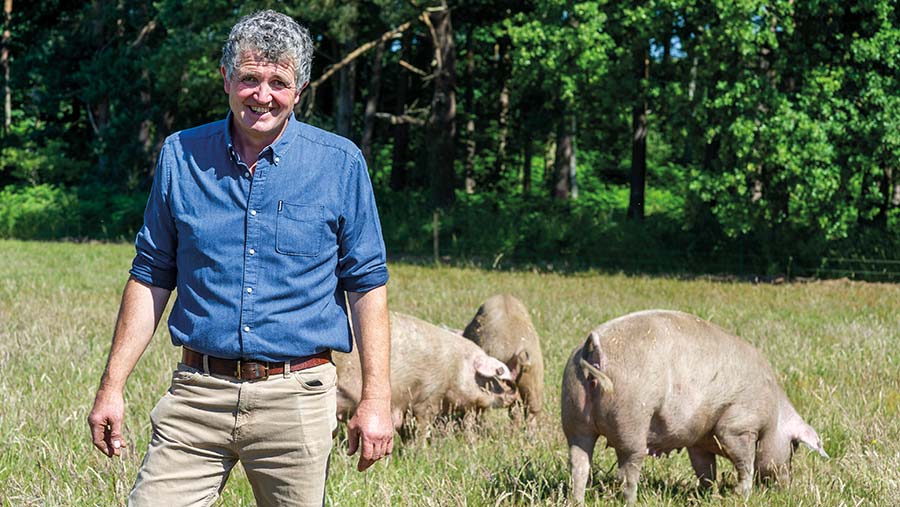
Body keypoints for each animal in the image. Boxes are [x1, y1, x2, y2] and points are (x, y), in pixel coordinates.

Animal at [564, 310, 828, 504]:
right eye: (794, 446)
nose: (786, 488)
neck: (773, 415)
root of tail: (594, 346)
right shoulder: (739, 426)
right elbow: (745, 462)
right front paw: (740, 495)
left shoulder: (699, 439)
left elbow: (705, 469)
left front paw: (707, 495)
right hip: (631, 418)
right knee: (627, 469)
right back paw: (631, 501)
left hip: (574, 415)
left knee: (579, 464)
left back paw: (577, 501)